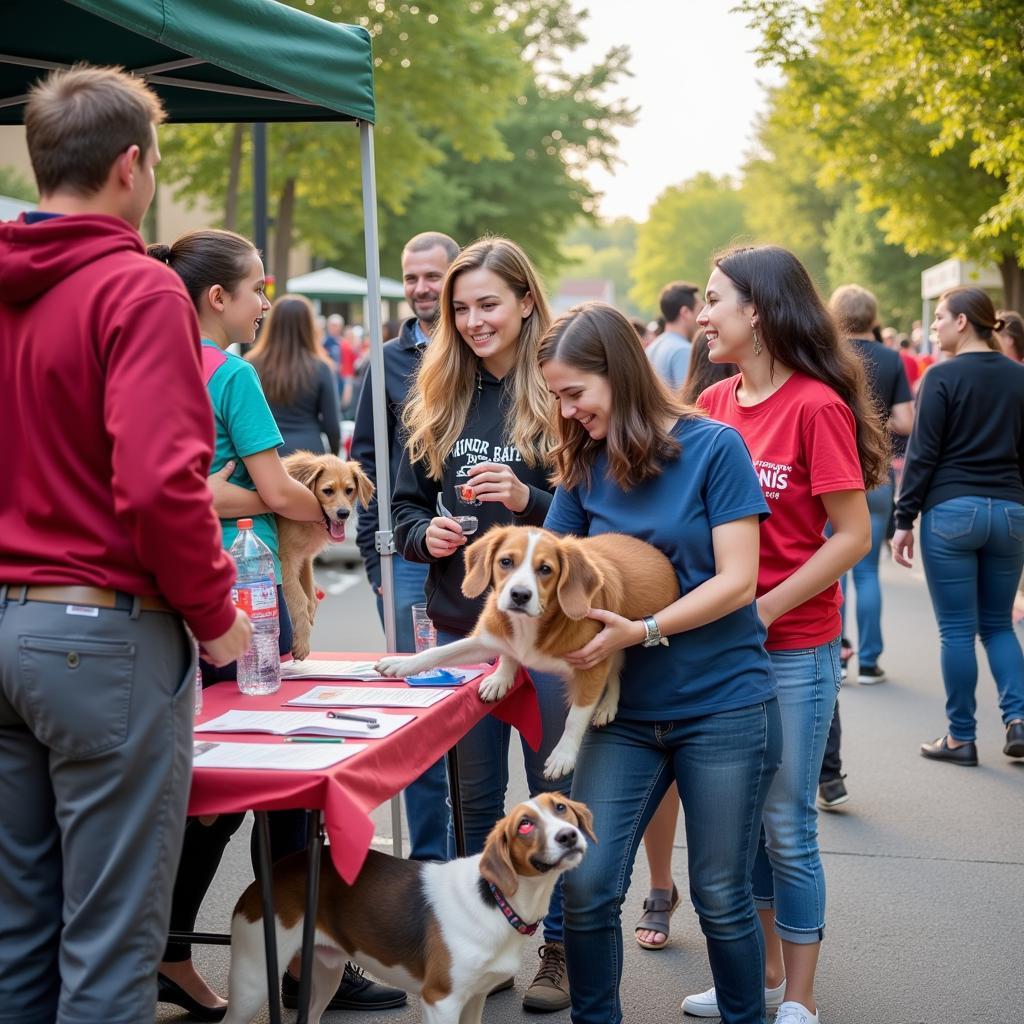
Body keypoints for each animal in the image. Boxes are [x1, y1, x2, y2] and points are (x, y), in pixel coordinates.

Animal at [224, 790, 593, 1024]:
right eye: (525, 825)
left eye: (561, 808)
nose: (568, 836)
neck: (498, 901)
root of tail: (265, 879)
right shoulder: (440, 1001)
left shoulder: (475, 998)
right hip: (253, 981)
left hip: (326, 974)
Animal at [278, 450, 374, 659]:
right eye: (328, 491)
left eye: (349, 490)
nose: (344, 513)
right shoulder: (284, 561)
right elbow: (300, 599)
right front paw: (302, 641)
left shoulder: (304, 559)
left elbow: (310, 599)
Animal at [376, 528, 679, 774]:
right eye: (505, 562)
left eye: (545, 569)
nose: (520, 595)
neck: (530, 625)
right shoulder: (486, 640)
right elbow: (440, 653)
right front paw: (401, 665)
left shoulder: (593, 663)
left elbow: (575, 717)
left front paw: (563, 755)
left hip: (615, 641)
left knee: (614, 671)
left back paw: (606, 706)